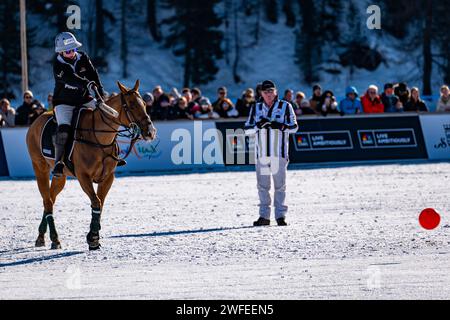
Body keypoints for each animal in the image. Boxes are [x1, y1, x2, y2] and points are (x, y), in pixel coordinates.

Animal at [26, 80, 156, 250]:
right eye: (132, 105)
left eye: (145, 105)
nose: (150, 132)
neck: (99, 137)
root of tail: (35, 121)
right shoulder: (84, 177)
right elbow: (96, 202)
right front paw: (93, 238)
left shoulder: (108, 178)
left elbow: (100, 204)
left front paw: (95, 235)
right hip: (39, 167)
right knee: (47, 200)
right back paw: (53, 238)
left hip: (61, 176)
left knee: (50, 200)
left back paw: (43, 237)